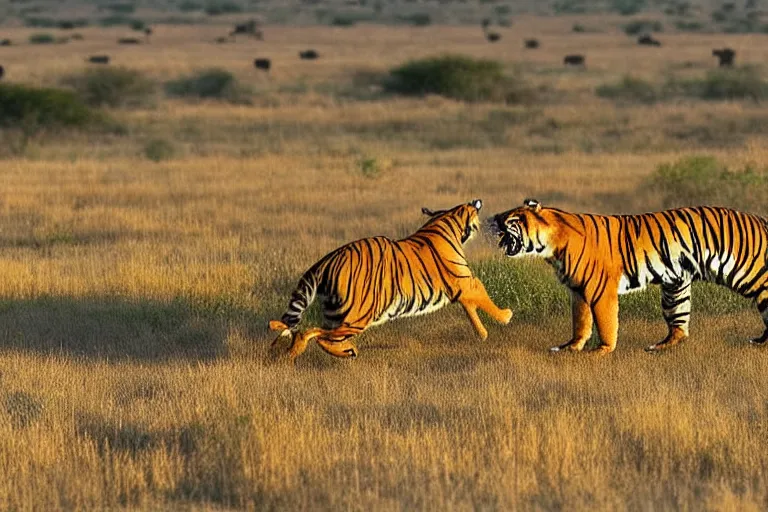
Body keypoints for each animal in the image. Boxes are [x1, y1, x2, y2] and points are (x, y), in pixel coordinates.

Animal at [268, 198, 512, 362]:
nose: (477, 202)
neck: (448, 223)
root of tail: (326, 261)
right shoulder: (466, 281)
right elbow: (484, 296)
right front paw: (506, 316)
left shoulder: (462, 290)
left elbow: (471, 310)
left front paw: (482, 333)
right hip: (359, 316)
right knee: (318, 335)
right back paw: (348, 351)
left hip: (335, 313)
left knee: (306, 332)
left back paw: (289, 354)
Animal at [492, 198, 768, 354]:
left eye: (513, 217)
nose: (494, 217)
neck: (552, 245)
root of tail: (762, 220)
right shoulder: (578, 292)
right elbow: (580, 322)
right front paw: (569, 348)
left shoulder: (600, 289)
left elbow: (605, 322)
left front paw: (602, 351)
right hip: (675, 286)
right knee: (679, 326)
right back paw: (657, 347)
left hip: (750, 275)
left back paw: (757, 344)